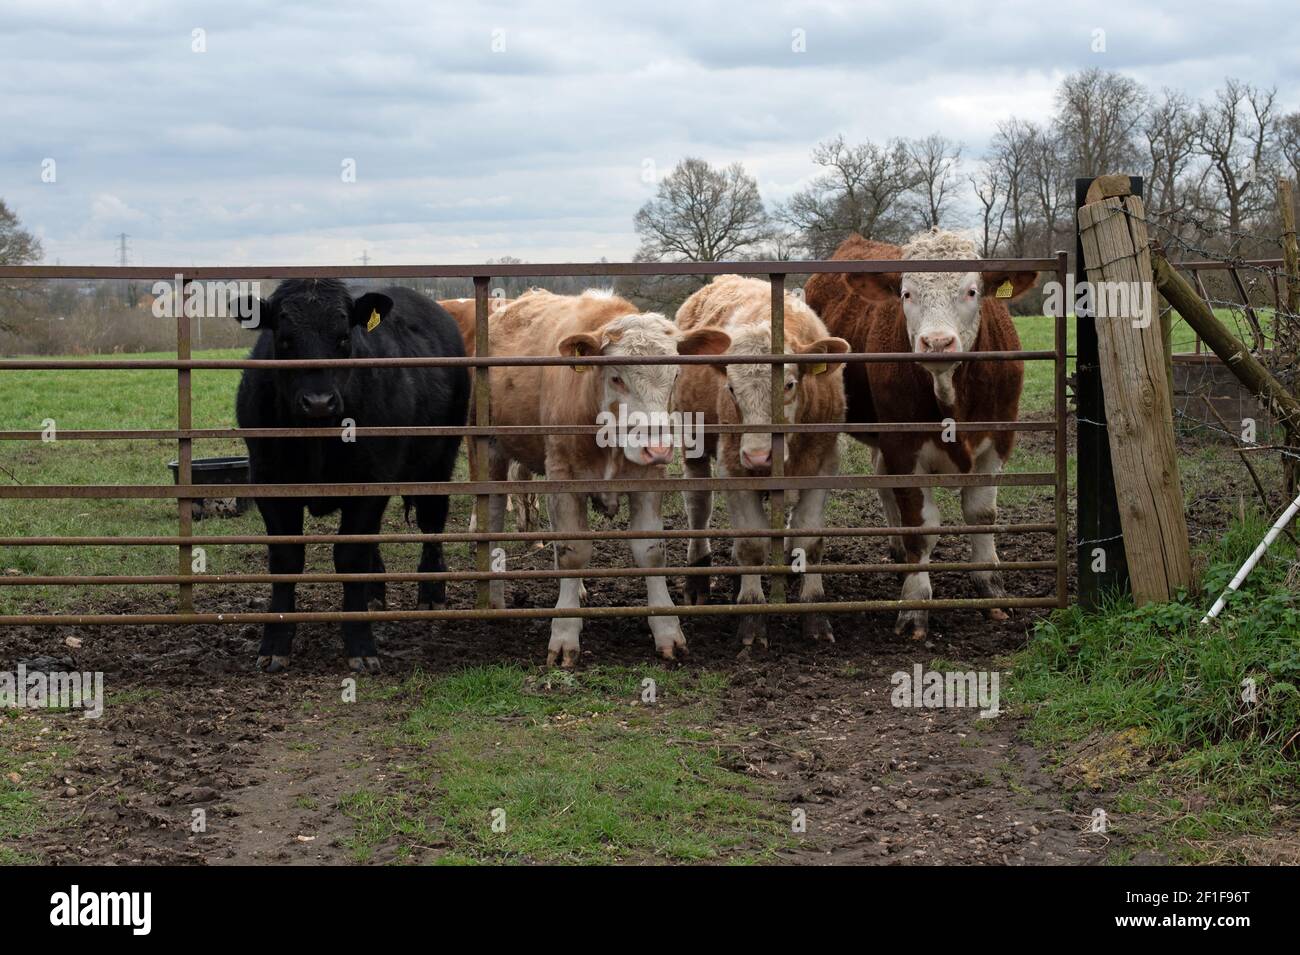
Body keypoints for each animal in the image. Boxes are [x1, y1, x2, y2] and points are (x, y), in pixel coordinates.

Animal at [236, 280, 470, 675]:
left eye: (343, 338)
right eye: (284, 339)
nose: (318, 401)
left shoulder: (371, 479)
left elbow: (350, 557)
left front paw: (360, 643)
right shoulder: (268, 480)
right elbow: (286, 560)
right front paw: (274, 644)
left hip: (439, 459)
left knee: (431, 522)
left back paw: (431, 593)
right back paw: (374, 592)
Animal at [480, 287, 733, 670]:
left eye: (675, 375)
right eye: (617, 377)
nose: (658, 447)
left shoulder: (647, 480)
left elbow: (650, 551)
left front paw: (667, 630)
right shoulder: (565, 478)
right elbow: (573, 552)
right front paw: (565, 634)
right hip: (492, 452)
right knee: (493, 521)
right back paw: (495, 600)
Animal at [670, 280, 852, 647]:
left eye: (789, 384)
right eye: (730, 388)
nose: (758, 456)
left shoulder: (823, 463)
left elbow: (809, 541)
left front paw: (814, 613)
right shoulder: (733, 467)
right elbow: (751, 545)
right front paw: (752, 619)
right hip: (693, 441)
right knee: (698, 504)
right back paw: (698, 578)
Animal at [800, 227, 1034, 639]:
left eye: (971, 291)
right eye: (907, 294)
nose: (937, 342)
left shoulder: (997, 442)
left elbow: (981, 514)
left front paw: (991, 589)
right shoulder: (903, 446)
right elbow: (921, 526)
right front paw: (915, 603)